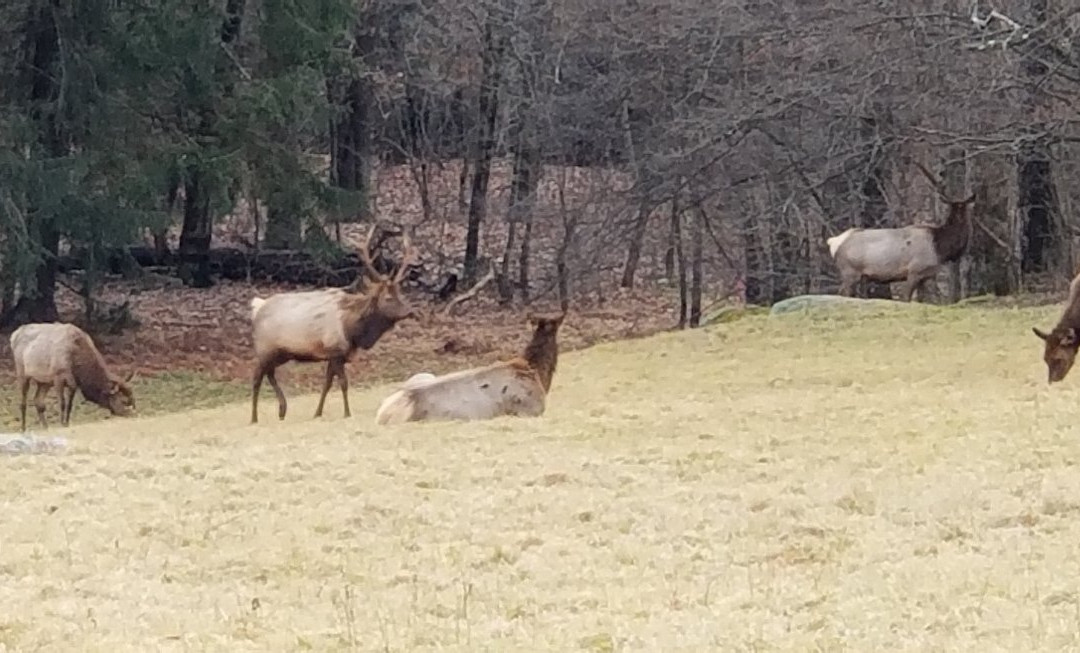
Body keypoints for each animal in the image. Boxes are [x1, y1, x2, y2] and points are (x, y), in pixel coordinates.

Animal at [248, 226, 416, 425]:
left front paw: (317, 413)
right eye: (388, 298)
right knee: (257, 377)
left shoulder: (336, 355)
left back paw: (282, 409)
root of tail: (257, 307)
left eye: (401, 292)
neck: (353, 331)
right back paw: (254, 418)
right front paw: (347, 413)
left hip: (282, 353)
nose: (410, 311)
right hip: (265, 349)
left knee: (270, 373)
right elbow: (343, 383)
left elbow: (327, 383)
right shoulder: (335, 349)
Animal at [825, 161, 980, 304]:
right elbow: (906, 298)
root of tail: (834, 242)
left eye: (965, 210)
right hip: (850, 270)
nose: (960, 219)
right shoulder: (914, 270)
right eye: (952, 211)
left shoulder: (926, 276)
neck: (940, 249)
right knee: (842, 293)